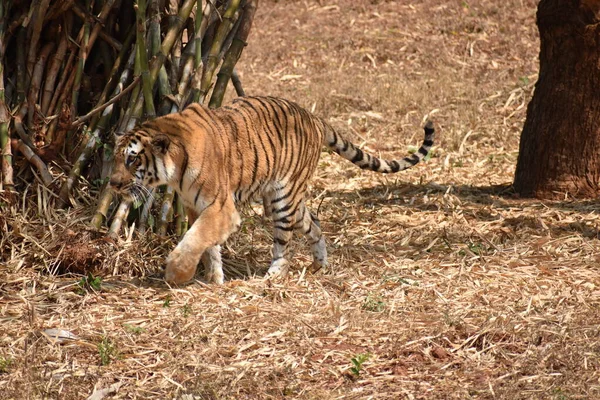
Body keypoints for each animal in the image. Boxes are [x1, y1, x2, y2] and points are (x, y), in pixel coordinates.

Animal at [109, 96, 436, 284]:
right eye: (116, 157)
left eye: (132, 158)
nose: (112, 183)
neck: (175, 169)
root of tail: (313, 116)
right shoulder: (195, 206)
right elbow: (207, 244)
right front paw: (214, 279)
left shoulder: (220, 207)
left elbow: (195, 239)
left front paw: (177, 274)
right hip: (285, 201)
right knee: (314, 223)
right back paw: (319, 265)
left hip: (283, 198)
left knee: (283, 243)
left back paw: (274, 276)